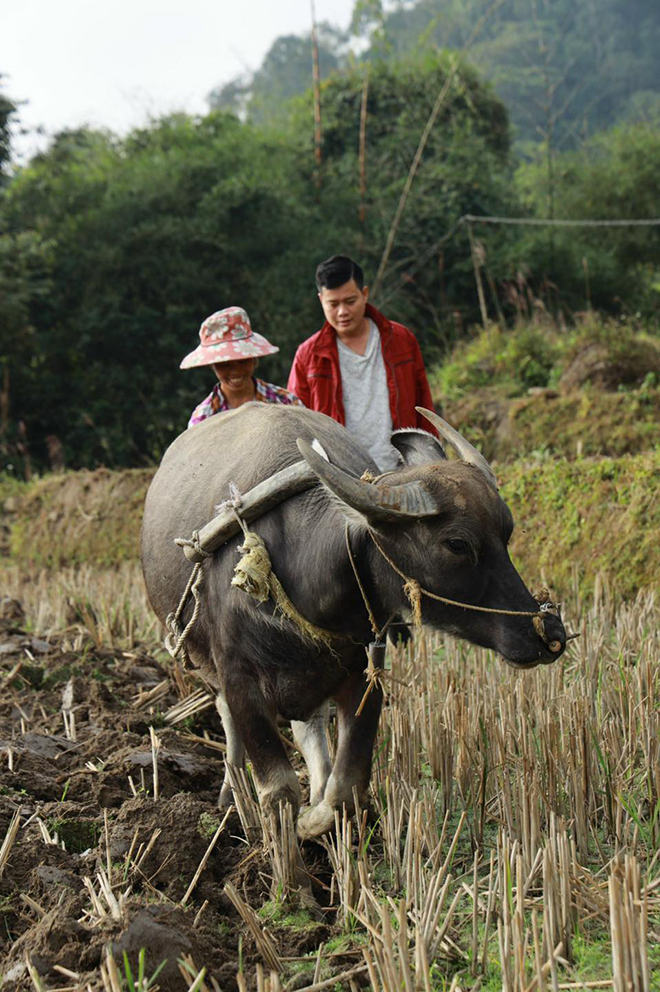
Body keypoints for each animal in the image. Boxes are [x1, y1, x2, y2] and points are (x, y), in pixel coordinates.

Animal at [142, 404, 564, 836]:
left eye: (506, 531)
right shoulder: (238, 678)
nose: (549, 633)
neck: (302, 572)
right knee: (231, 725)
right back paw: (231, 795)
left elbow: (346, 789)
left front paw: (314, 821)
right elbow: (278, 791)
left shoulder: (364, 670)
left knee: (311, 731)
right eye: (457, 544)